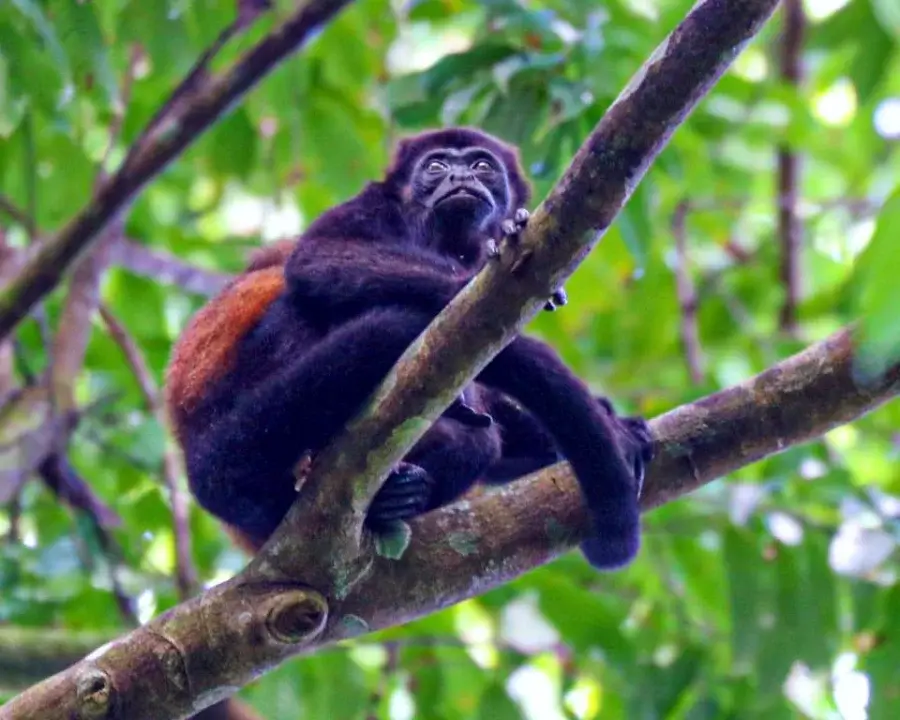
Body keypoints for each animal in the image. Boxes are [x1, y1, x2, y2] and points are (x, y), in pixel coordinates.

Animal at [165, 127, 653, 569]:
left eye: (482, 166)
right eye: (435, 166)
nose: (460, 176)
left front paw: (620, 428)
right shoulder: (373, 203)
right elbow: (319, 257)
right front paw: (469, 281)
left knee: (479, 441)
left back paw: (396, 496)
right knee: (300, 304)